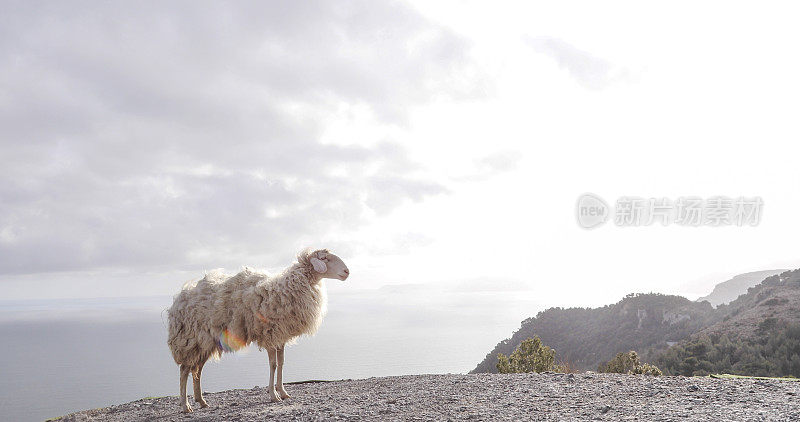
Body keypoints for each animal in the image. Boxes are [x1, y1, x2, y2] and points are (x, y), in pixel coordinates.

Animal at [167, 247, 348, 412]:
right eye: (325, 259)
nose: (347, 271)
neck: (286, 288)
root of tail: (180, 298)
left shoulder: (281, 336)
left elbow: (282, 363)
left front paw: (283, 392)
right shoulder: (270, 335)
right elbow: (273, 364)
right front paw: (274, 395)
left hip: (204, 343)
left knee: (197, 370)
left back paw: (202, 401)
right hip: (190, 340)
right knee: (184, 371)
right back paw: (185, 405)